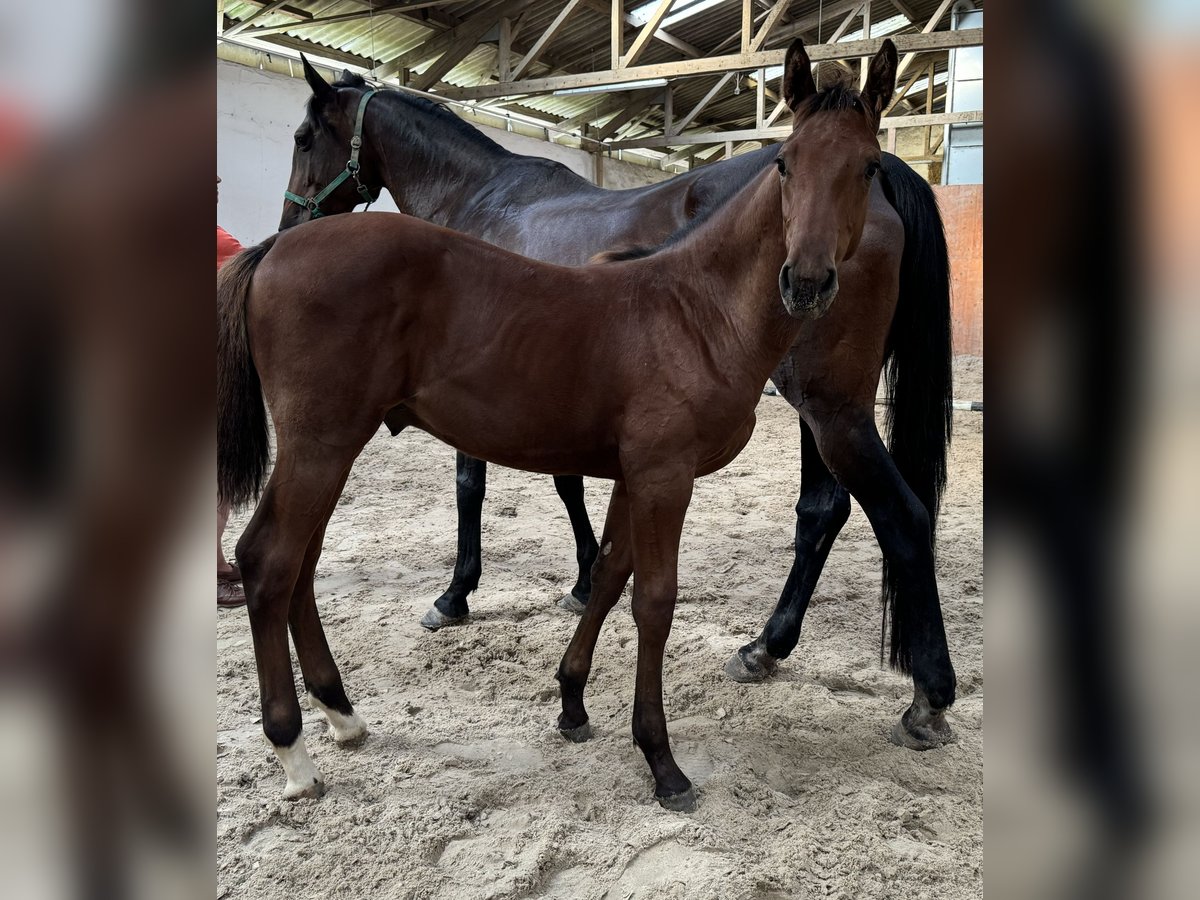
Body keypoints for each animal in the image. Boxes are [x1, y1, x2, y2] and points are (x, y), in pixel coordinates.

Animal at [223, 42, 936, 811]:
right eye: (785, 163)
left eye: (866, 166)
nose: (805, 281)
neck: (694, 307)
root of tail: (274, 255)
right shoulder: (661, 475)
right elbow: (651, 599)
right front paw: (661, 761)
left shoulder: (637, 473)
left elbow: (610, 575)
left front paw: (571, 701)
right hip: (321, 445)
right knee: (270, 559)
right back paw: (295, 751)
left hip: (330, 446)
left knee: (297, 563)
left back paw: (341, 715)